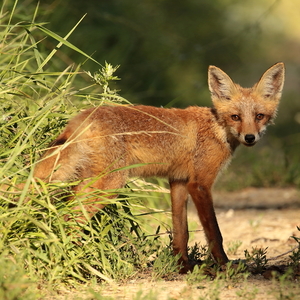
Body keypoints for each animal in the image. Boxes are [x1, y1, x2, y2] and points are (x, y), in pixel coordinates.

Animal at [32, 62, 286, 274]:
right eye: (235, 117)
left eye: (259, 116)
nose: (250, 137)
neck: (217, 129)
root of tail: (84, 115)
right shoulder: (200, 184)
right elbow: (215, 233)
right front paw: (225, 265)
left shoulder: (179, 182)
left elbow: (181, 232)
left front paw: (182, 267)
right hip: (110, 185)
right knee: (69, 216)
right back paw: (72, 261)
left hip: (89, 181)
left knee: (64, 210)